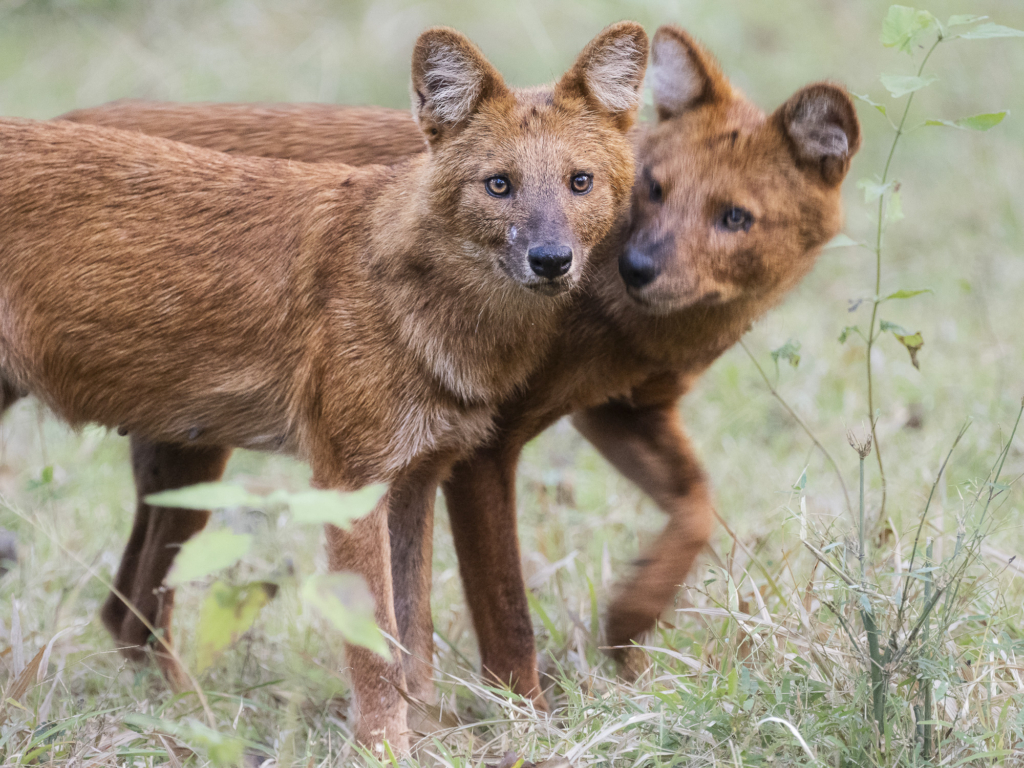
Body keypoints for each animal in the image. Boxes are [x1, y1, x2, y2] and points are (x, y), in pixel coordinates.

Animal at [0, 22, 647, 753]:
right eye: (499, 185)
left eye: (579, 182)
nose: (551, 260)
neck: (420, 300)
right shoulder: (349, 481)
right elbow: (375, 644)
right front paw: (385, 747)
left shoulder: (416, 477)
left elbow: (414, 634)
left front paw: (426, 735)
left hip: (187, 464)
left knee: (127, 608)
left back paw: (185, 715)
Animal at [58, 24, 856, 716]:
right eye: (654, 190)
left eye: (733, 218)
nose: (638, 267)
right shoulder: (481, 446)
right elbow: (505, 608)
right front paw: (528, 719)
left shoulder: (622, 411)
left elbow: (696, 507)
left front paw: (630, 624)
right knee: (135, 601)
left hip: (187, 447)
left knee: (125, 603)